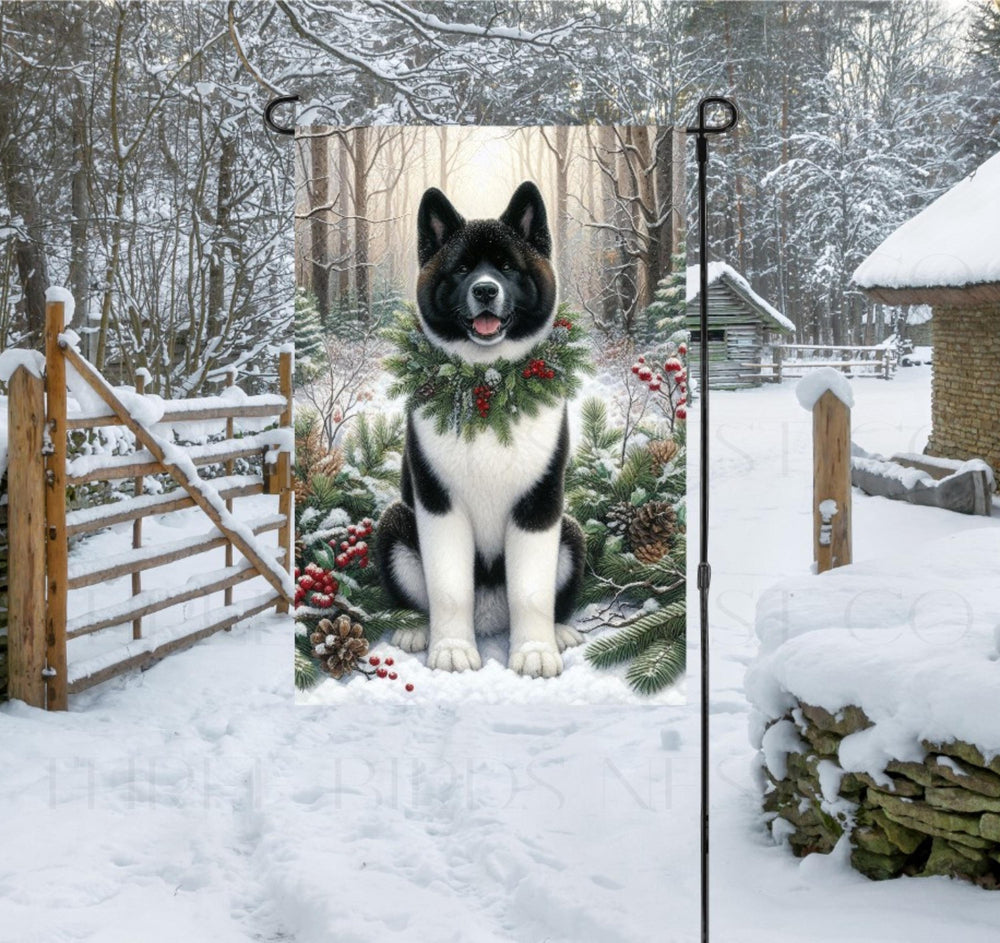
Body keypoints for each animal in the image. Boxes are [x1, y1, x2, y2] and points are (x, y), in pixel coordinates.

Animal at [378, 179, 588, 680]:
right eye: (461, 269)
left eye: (508, 267)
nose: (487, 290)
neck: (486, 387)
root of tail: (491, 617)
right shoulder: (439, 501)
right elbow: (449, 587)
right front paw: (452, 651)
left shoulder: (539, 503)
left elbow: (531, 591)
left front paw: (535, 653)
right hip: (395, 524)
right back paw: (415, 629)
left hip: (571, 532)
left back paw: (561, 631)